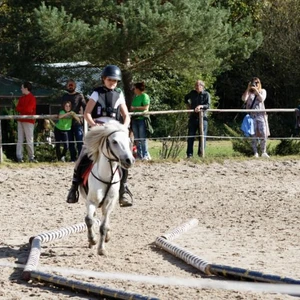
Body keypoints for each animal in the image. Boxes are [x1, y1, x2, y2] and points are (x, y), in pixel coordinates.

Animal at [81, 122, 135, 255]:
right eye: (114, 141)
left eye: (128, 141)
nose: (129, 160)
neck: (106, 176)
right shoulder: (91, 201)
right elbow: (89, 219)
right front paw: (92, 240)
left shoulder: (109, 202)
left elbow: (103, 226)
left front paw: (101, 249)